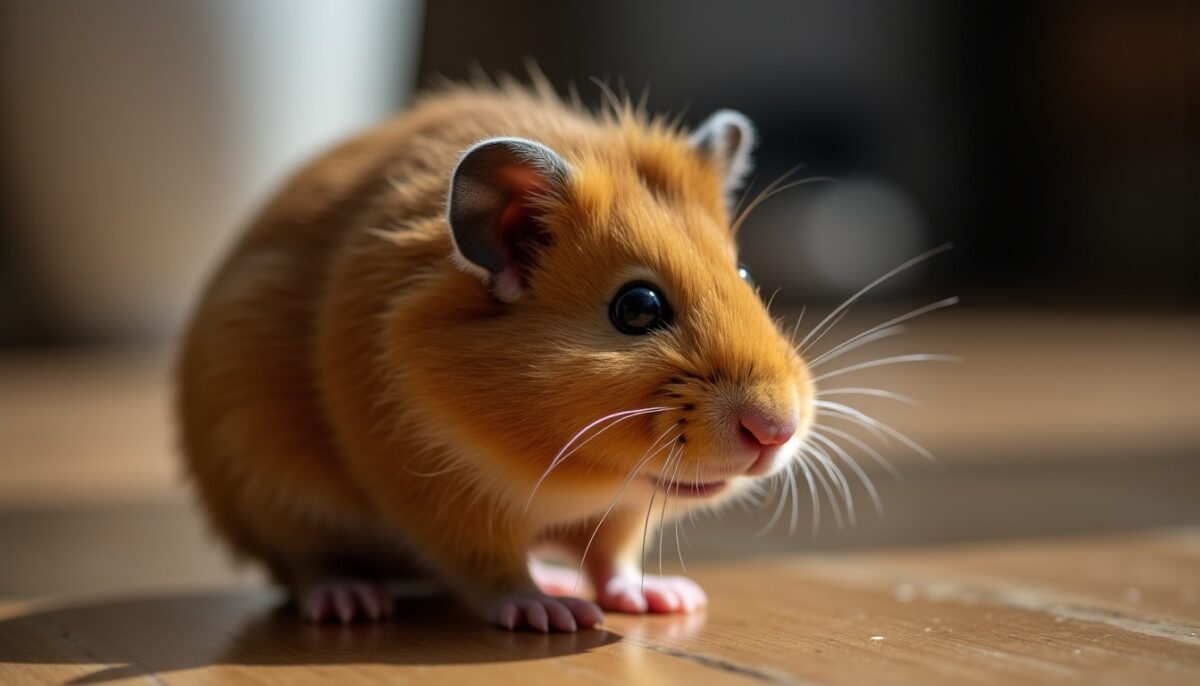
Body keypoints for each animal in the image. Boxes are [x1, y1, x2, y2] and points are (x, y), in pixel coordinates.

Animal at [176, 79, 814, 632]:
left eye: (745, 274)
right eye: (636, 308)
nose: (776, 431)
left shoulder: (621, 511)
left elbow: (613, 556)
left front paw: (672, 600)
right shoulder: (438, 492)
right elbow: (491, 567)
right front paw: (552, 616)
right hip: (266, 490)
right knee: (302, 564)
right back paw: (353, 602)